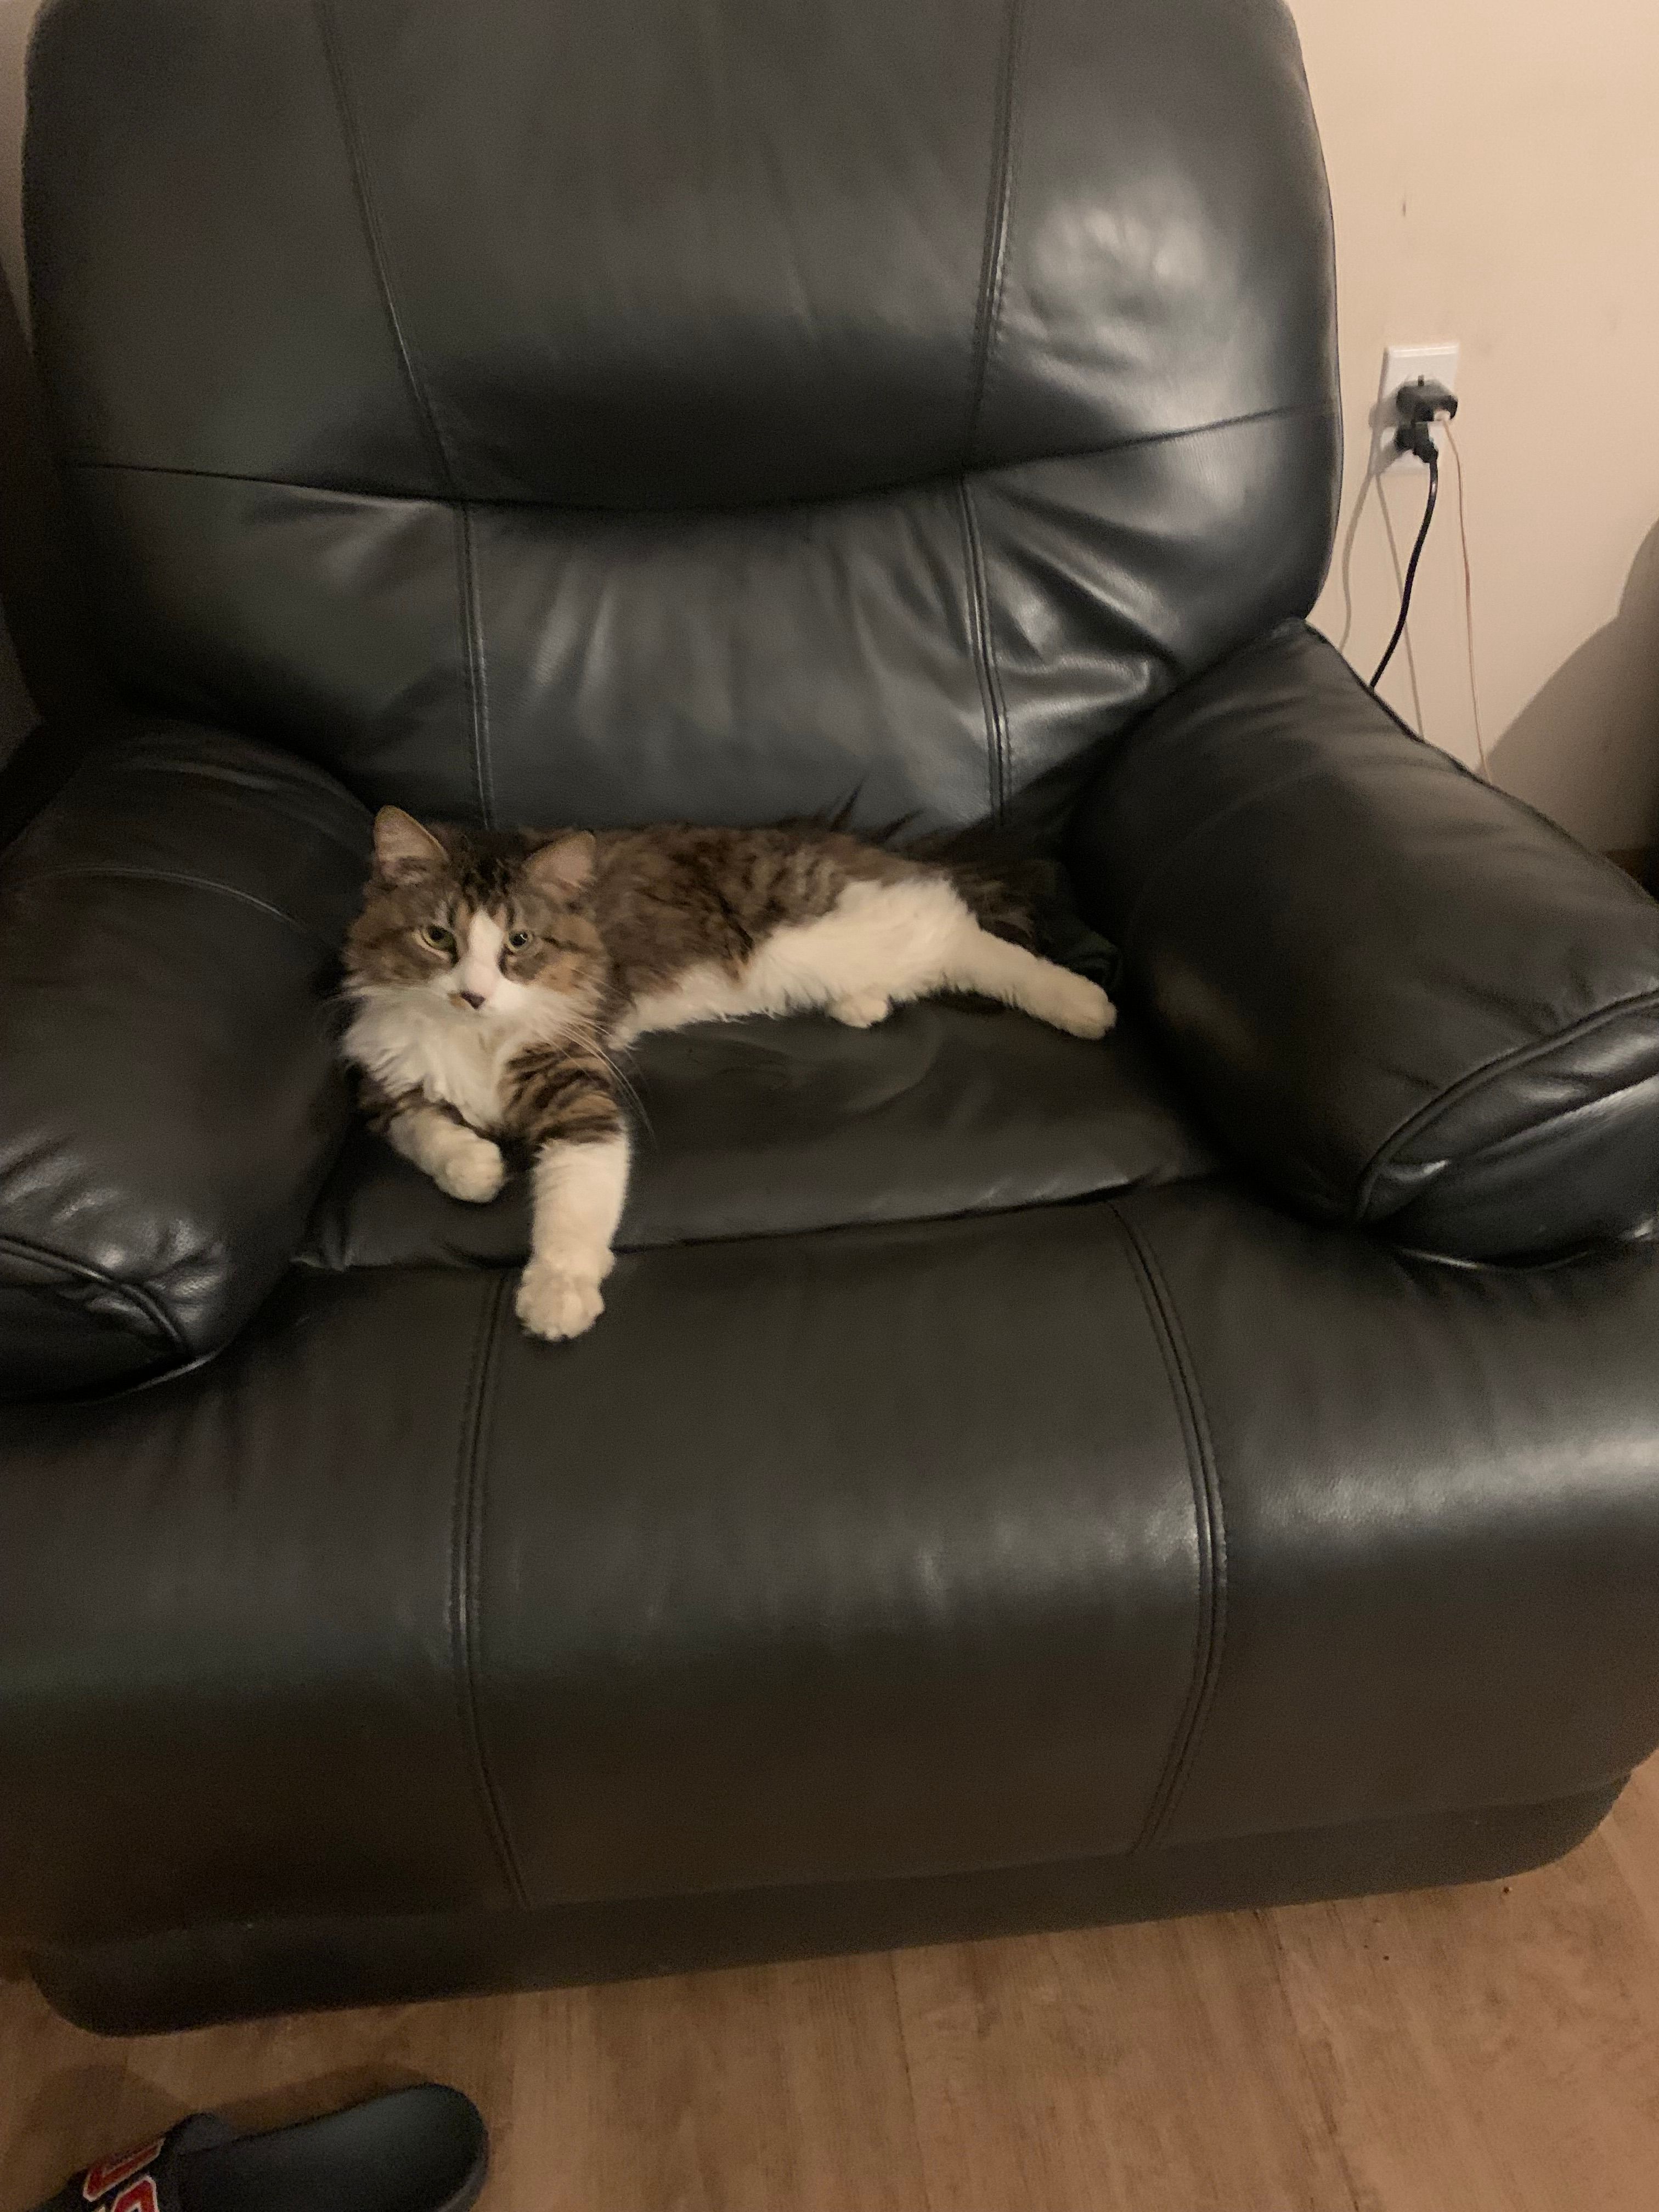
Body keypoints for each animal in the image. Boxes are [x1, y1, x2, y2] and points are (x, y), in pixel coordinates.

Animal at [340, 807, 1115, 1342]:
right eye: (438, 938)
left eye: (520, 944)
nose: (472, 995)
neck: (477, 1035)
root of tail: (818, 839)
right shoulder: (382, 1077)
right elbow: (425, 1130)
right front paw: (476, 1167)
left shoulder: (582, 1091)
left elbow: (575, 1199)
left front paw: (557, 1294)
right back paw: (862, 1005)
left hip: (834, 933)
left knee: (960, 934)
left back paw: (1082, 1003)